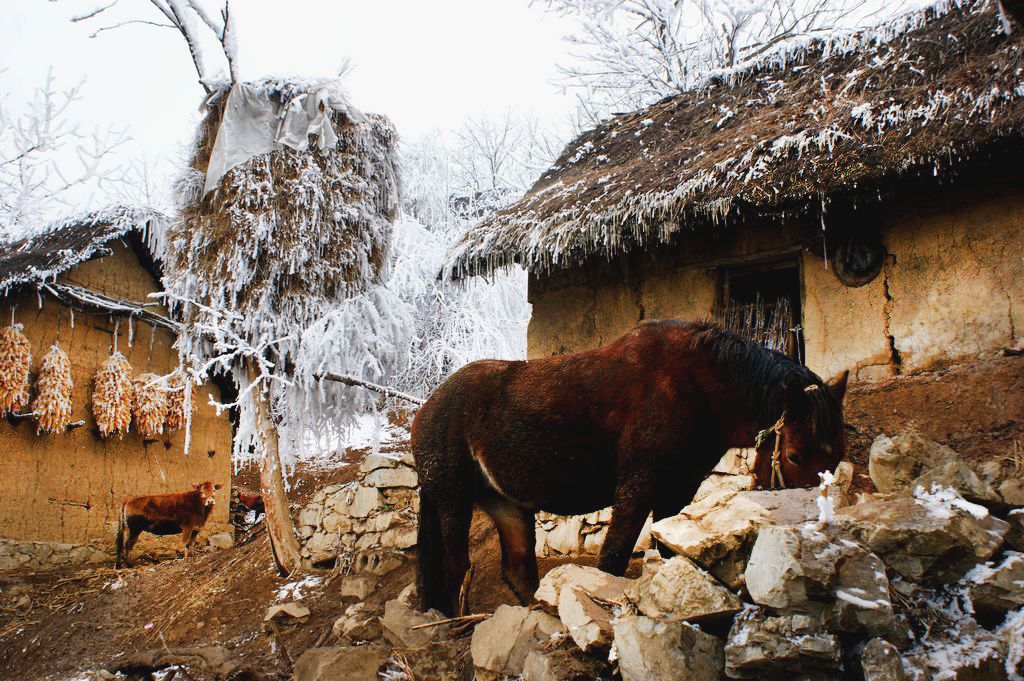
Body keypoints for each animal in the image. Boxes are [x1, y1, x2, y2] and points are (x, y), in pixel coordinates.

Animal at [409, 319, 847, 614]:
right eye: (794, 455)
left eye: (836, 456)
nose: (811, 536)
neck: (699, 387)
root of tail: (426, 410)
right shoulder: (638, 487)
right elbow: (614, 558)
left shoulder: (677, 489)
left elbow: (669, 551)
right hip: (452, 500)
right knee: (457, 566)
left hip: (508, 505)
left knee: (517, 570)